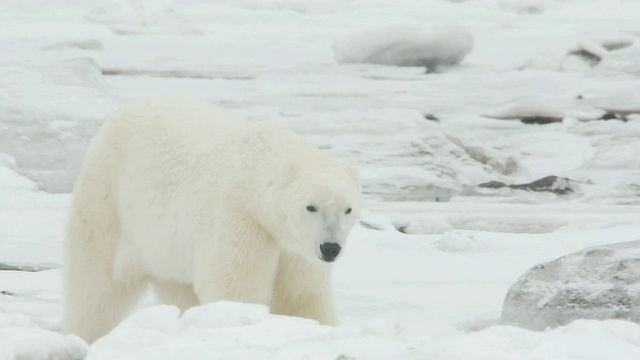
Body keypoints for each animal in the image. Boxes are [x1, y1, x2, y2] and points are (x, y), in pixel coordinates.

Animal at [62, 95, 362, 344]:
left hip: (167, 251)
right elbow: (235, 285)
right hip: (109, 204)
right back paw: (84, 336)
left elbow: (300, 293)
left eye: (347, 209)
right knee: (95, 288)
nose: (330, 248)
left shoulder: (295, 247)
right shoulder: (238, 216)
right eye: (311, 207)